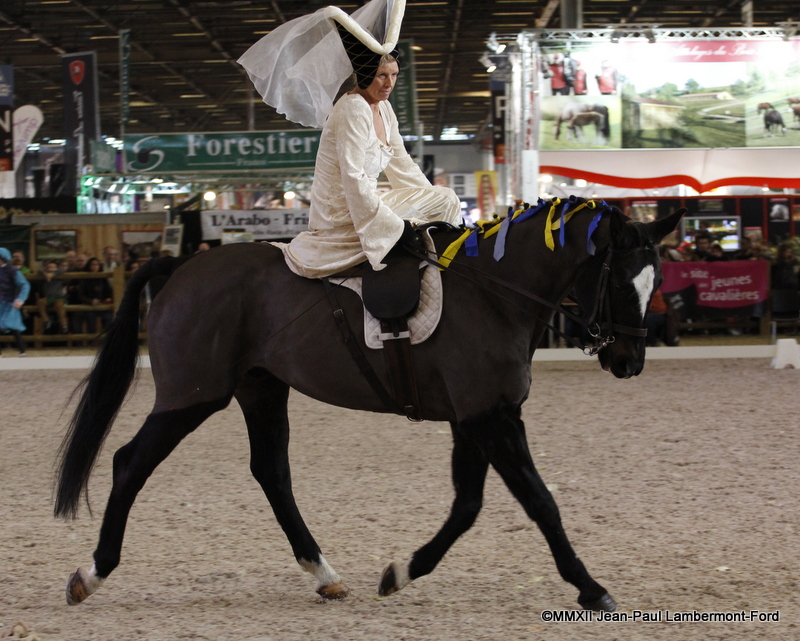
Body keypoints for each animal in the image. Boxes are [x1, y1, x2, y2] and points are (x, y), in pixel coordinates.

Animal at [53, 200, 684, 608]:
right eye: (620, 281)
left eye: (656, 281)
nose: (629, 360)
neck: (495, 295)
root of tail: (181, 265)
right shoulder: (493, 418)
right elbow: (540, 502)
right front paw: (590, 586)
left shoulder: (474, 419)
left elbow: (467, 506)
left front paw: (403, 571)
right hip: (191, 397)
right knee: (130, 463)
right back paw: (92, 572)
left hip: (261, 389)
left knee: (271, 473)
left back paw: (323, 574)